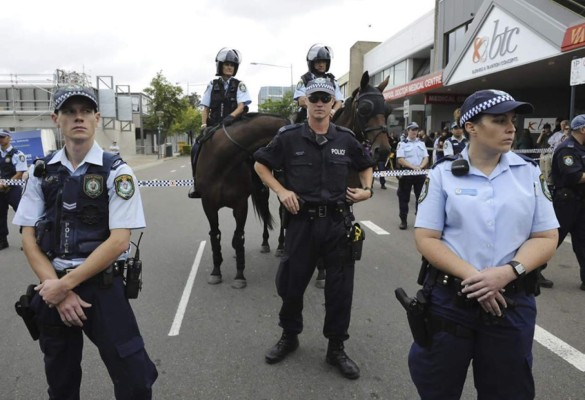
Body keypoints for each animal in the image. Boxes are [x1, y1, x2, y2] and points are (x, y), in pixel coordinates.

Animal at [195, 112, 288, 288]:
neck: (223, 163)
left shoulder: (240, 205)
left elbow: (239, 237)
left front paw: (239, 276)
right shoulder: (208, 205)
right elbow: (215, 235)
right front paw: (216, 272)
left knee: (280, 213)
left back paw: (279, 246)